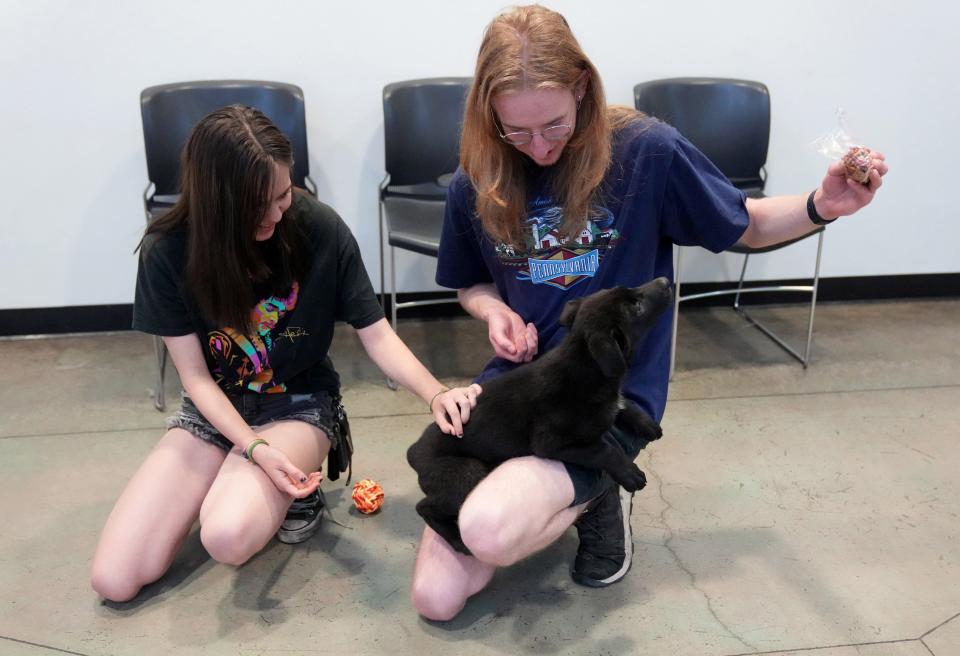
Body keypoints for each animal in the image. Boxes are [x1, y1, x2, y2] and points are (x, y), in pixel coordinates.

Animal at [406, 276, 676, 552]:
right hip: (465, 475)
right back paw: (456, 539)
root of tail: (414, 450)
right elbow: (603, 449)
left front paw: (645, 422)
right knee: (424, 507)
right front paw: (629, 471)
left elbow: (620, 404)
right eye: (636, 307)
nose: (665, 280)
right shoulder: (552, 443)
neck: (585, 363)